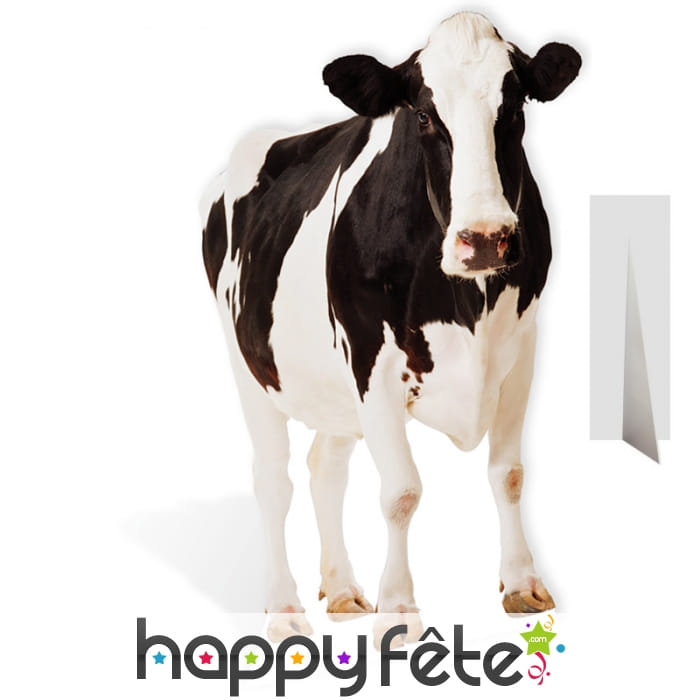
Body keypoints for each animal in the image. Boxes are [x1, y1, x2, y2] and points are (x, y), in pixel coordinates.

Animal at [201, 11, 580, 643]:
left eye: (515, 107)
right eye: (424, 115)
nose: (486, 239)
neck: (467, 302)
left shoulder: (521, 353)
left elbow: (508, 473)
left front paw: (523, 584)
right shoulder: (370, 363)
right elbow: (402, 491)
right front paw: (398, 610)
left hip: (332, 390)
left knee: (324, 469)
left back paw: (343, 590)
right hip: (249, 364)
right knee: (273, 480)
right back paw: (284, 609)